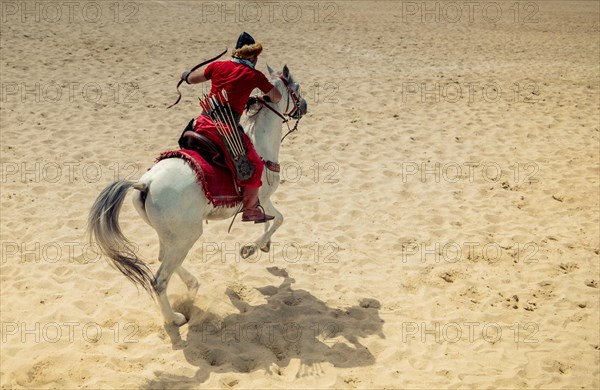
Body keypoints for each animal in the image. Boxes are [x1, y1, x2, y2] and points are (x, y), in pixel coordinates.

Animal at [86, 64, 308, 326]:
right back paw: (174, 318)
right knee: (159, 280)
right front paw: (251, 248)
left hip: (172, 235)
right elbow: (279, 218)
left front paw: (263, 245)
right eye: (296, 89)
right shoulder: (260, 199)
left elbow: (272, 220)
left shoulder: (263, 202)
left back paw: (191, 285)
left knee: (163, 257)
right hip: (187, 235)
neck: (259, 143)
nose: (304, 106)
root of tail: (144, 183)